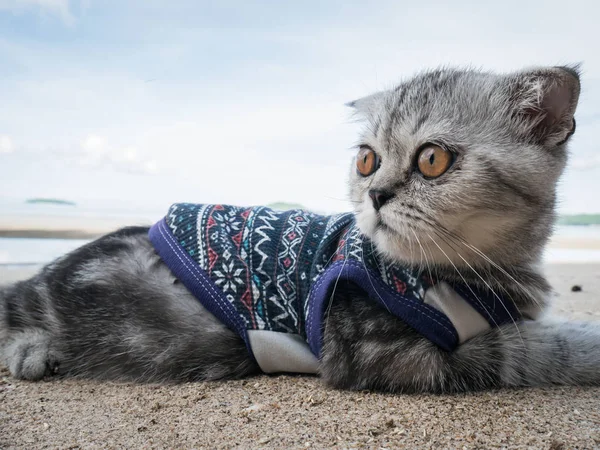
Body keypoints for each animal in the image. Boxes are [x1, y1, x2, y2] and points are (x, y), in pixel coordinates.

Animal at [1, 64, 600, 394]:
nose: (376, 194)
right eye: (367, 161)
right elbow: (530, 349)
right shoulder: (379, 351)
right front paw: (585, 345)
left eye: (432, 159)